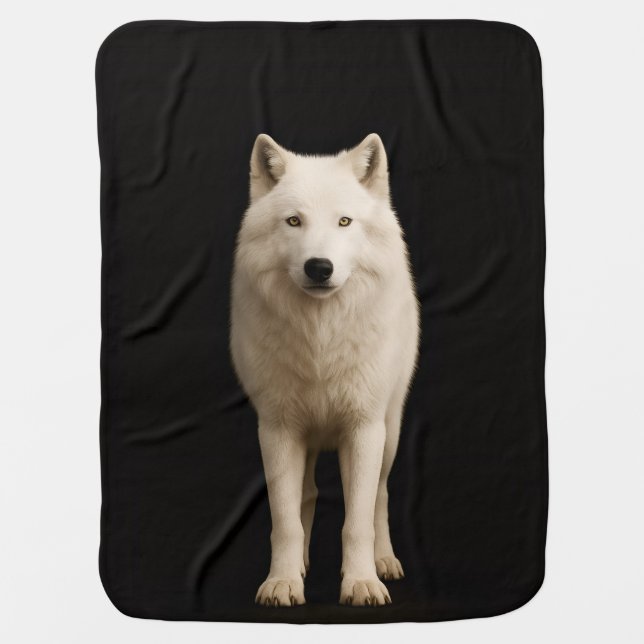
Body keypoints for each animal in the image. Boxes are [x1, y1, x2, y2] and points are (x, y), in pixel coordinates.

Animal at [230, 133, 419, 607]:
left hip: (390, 431)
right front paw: (282, 582)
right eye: (294, 221)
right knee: (309, 494)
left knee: (380, 497)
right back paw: (300, 566)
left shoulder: (364, 429)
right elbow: (285, 521)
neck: (320, 339)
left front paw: (361, 583)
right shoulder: (277, 430)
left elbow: (356, 522)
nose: (319, 267)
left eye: (344, 222)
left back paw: (384, 561)